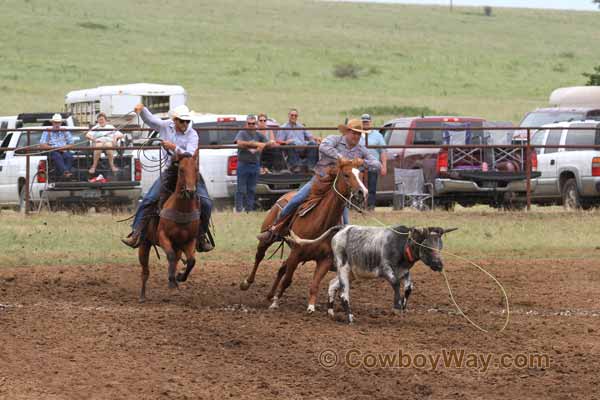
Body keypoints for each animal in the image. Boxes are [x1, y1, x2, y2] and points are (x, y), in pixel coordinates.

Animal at [137, 151, 200, 304]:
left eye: (196, 169)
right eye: (181, 170)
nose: (190, 192)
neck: (182, 210)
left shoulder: (189, 241)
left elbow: (191, 261)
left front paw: (179, 277)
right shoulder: (163, 236)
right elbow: (170, 256)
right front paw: (172, 279)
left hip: (178, 246)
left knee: (176, 260)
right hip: (145, 243)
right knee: (145, 271)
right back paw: (142, 296)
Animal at [239, 158, 366, 310]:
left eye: (360, 175)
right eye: (346, 175)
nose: (362, 192)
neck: (321, 223)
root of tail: (286, 194)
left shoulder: (325, 260)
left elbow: (315, 284)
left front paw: (311, 307)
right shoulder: (296, 253)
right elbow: (287, 280)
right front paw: (276, 302)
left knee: (282, 268)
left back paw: (270, 295)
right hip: (268, 238)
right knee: (260, 256)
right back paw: (247, 283)